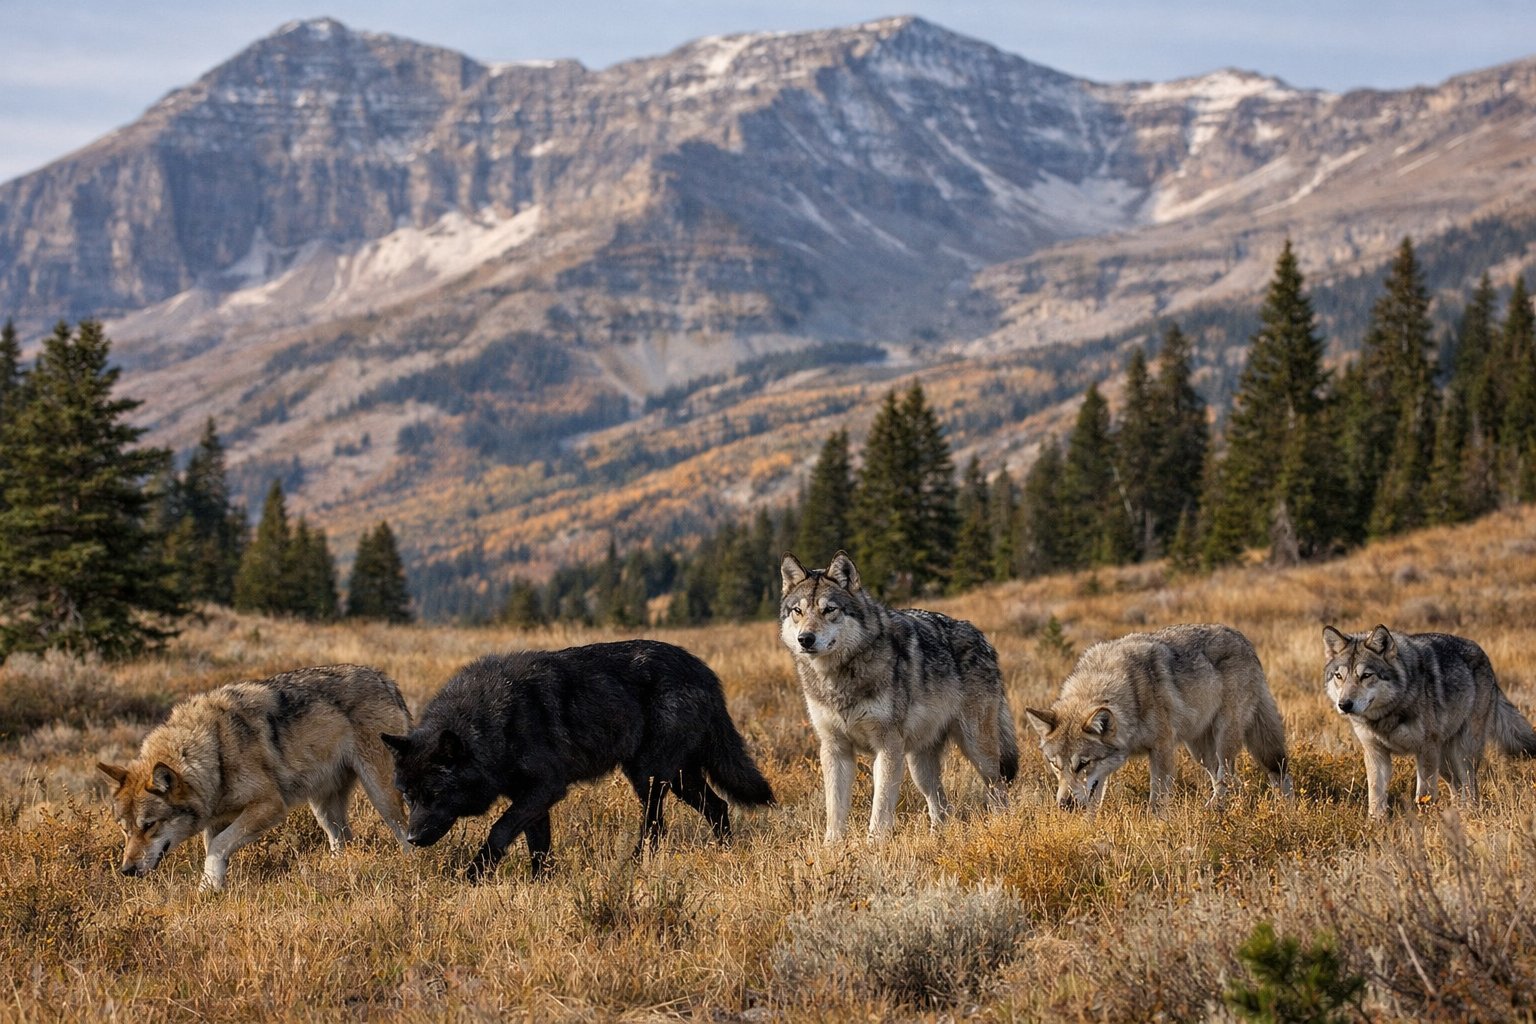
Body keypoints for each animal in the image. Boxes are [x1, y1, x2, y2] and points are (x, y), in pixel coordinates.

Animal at [97, 664, 411, 890]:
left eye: (149, 825)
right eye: (124, 829)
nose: (126, 870)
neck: (216, 751)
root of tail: (385, 679)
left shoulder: (269, 806)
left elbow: (219, 846)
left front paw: (209, 888)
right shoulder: (216, 821)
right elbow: (213, 849)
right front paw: (210, 890)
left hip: (381, 794)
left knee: (404, 831)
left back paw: (413, 866)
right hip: (324, 809)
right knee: (343, 839)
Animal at [382, 639, 774, 881]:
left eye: (435, 795)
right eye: (408, 796)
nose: (412, 838)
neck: (493, 725)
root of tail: (705, 672)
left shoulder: (546, 788)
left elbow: (499, 831)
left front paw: (473, 876)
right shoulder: (532, 798)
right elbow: (537, 845)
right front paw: (540, 883)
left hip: (649, 777)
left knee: (657, 826)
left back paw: (634, 867)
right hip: (677, 778)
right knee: (718, 806)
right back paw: (724, 853)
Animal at [778, 551, 1019, 843]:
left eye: (829, 610)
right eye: (797, 611)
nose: (805, 639)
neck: (839, 678)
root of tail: (982, 637)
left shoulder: (887, 746)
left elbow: (880, 807)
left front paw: (874, 846)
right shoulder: (834, 748)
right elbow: (834, 809)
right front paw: (832, 847)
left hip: (978, 751)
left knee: (998, 790)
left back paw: (1002, 826)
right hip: (919, 766)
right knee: (941, 806)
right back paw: (936, 840)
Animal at [1025, 624, 1293, 813]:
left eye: (1082, 764)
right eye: (1054, 765)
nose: (1064, 805)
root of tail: (1243, 639)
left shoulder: (1162, 749)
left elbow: (1157, 801)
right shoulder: (1101, 774)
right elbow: (1093, 801)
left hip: (1224, 740)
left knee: (1233, 777)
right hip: (1201, 752)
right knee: (1228, 781)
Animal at [1323, 624, 1536, 817]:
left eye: (1366, 676)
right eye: (1339, 676)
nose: (1344, 705)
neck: (1388, 716)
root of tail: (1486, 658)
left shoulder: (1425, 750)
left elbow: (1424, 795)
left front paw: (1424, 822)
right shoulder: (1375, 751)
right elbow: (1376, 796)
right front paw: (1376, 824)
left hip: (1461, 753)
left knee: (1470, 786)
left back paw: (1468, 815)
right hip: (1443, 762)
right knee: (1456, 786)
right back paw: (1458, 813)